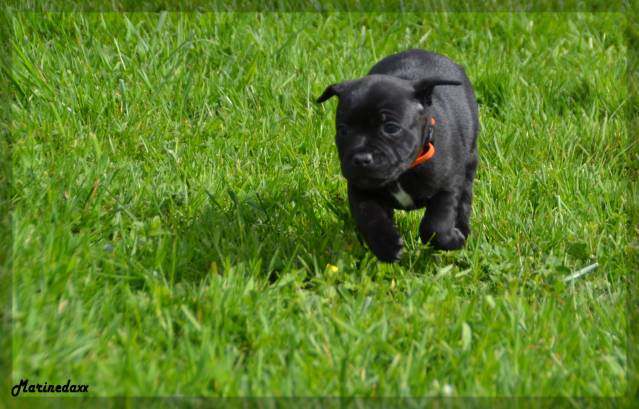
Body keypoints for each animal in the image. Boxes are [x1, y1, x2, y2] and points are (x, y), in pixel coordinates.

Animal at [318, 49, 478, 262]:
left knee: (464, 201)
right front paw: (387, 246)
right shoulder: (361, 190)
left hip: (469, 163)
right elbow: (370, 218)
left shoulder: (448, 187)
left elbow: (434, 225)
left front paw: (452, 240)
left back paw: (462, 231)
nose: (361, 159)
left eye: (391, 128)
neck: (402, 173)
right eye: (343, 131)